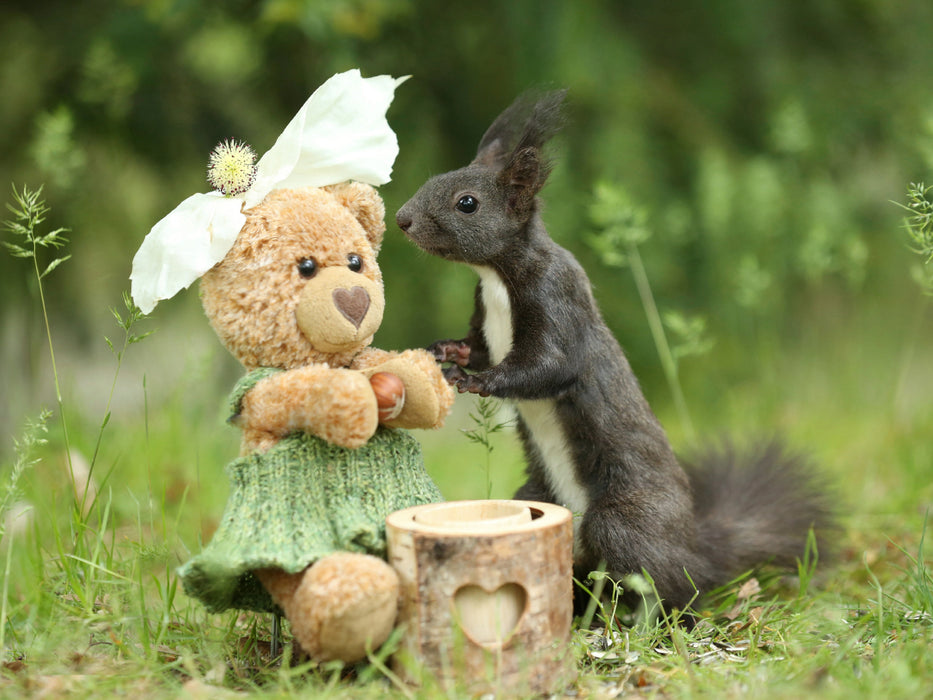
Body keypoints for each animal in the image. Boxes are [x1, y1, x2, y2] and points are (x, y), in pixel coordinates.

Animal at [394, 90, 832, 608]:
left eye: (467, 204)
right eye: (433, 180)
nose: (402, 219)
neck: (497, 275)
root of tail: (697, 550)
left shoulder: (558, 302)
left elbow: (547, 366)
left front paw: (475, 381)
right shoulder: (485, 322)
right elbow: (478, 347)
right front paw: (445, 352)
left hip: (623, 522)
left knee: (663, 583)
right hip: (538, 495)